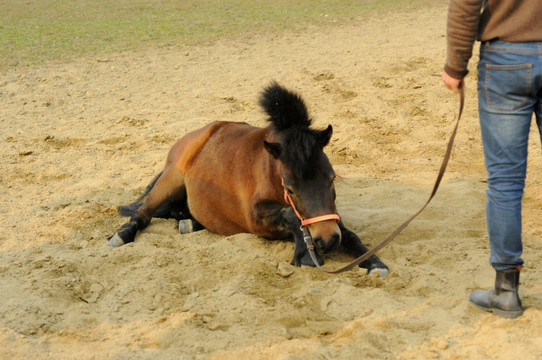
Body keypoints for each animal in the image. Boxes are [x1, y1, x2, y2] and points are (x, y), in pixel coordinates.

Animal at [109, 83, 392, 274]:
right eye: (290, 187)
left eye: (332, 179)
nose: (327, 240)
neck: (272, 172)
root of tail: (197, 135)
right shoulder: (256, 218)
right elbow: (290, 215)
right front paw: (305, 255)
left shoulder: (330, 217)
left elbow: (350, 235)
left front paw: (373, 262)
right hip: (169, 180)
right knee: (143, 213)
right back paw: (122, 235)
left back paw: (189, 223)